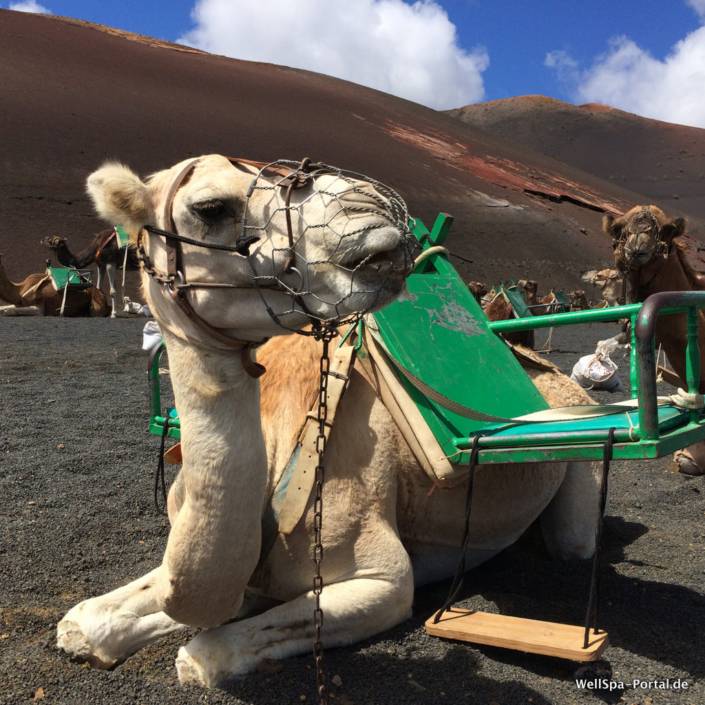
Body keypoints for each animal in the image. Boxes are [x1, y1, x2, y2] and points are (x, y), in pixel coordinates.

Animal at [57, 154, 604, 688]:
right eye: (210, 207)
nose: (373, 204)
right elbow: (89, 620)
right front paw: (84, 633)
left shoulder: (384, 580)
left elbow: (204, 654)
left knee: (575, 543)